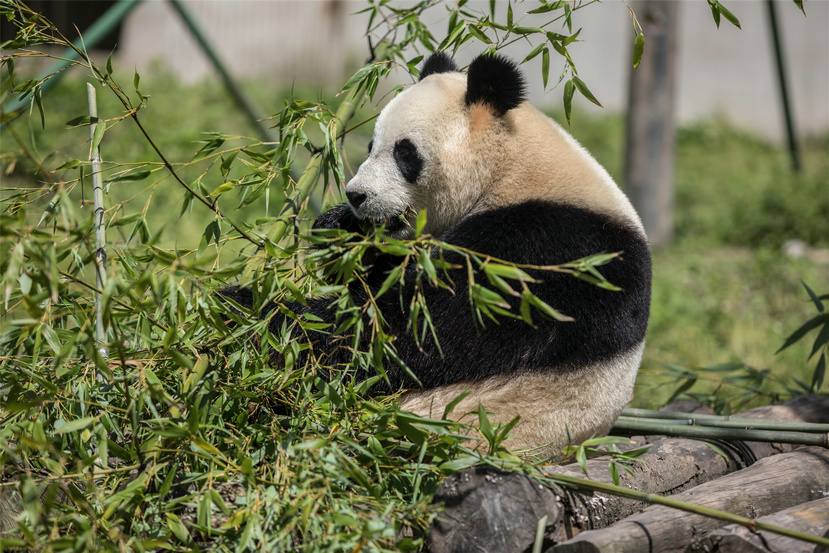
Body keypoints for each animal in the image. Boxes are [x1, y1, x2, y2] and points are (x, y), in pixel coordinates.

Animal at [223, 52, 652, 458]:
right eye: (370, 146)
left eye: (405, 153)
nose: (356, 195)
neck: (512, 167)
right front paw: (339, 231)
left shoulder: (542, 251)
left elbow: (411, 329)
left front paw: (242, 311)